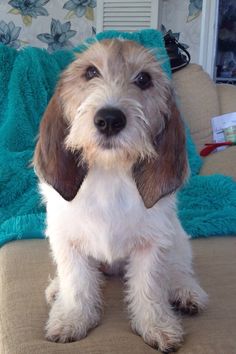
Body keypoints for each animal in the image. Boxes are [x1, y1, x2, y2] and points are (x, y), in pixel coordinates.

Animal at [34, 38, 207, 354]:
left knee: (178, 267)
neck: (110, 173)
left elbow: (150, 286)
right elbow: (76, 283)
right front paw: (72, 318)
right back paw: (56, 290)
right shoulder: (67, 240)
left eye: (144, 79)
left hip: (177, 238)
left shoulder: (153, 244)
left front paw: (157, 325)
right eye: (90, 72)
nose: (109, 119)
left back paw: (185, 291)